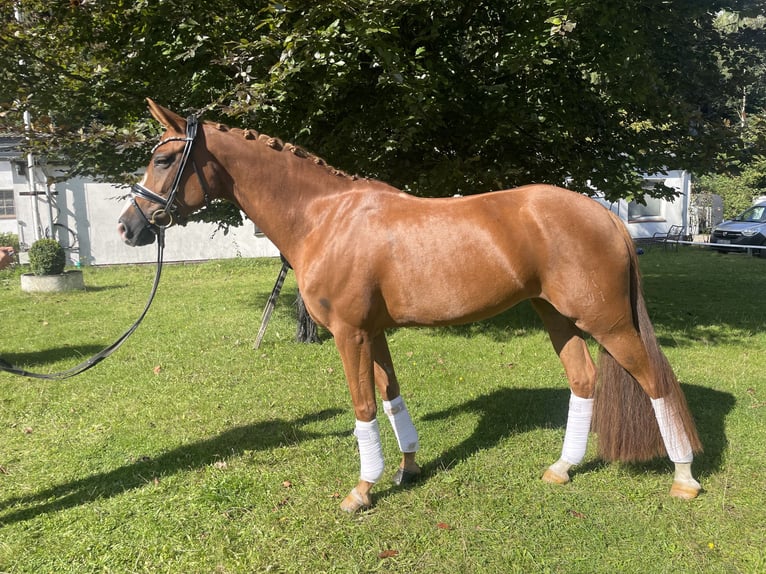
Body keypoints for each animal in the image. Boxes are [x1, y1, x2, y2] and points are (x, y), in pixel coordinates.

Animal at [118, 100, 702, 512]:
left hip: (607, 321)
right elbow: (391, 397)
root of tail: (606, 216)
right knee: (583, 380)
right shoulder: (373, 332)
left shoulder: (349, 333)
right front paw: (408, 468)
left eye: (163, 159)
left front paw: (361, 490)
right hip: (556, 316)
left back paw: (684, 477)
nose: (129, 227)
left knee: (655, 381)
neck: (325, 217)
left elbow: (362, 407)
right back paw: (561, 468)